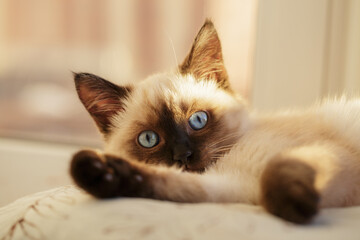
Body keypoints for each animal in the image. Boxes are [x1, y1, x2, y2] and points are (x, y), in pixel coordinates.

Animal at [69, 19, 360, 224]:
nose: (183, 156)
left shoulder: (327, 156)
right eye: (149, 139)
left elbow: (275, 172)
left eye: (198, 120)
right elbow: (171, 186)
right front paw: (98, 171)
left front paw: (297, 209)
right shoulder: (234, 187)